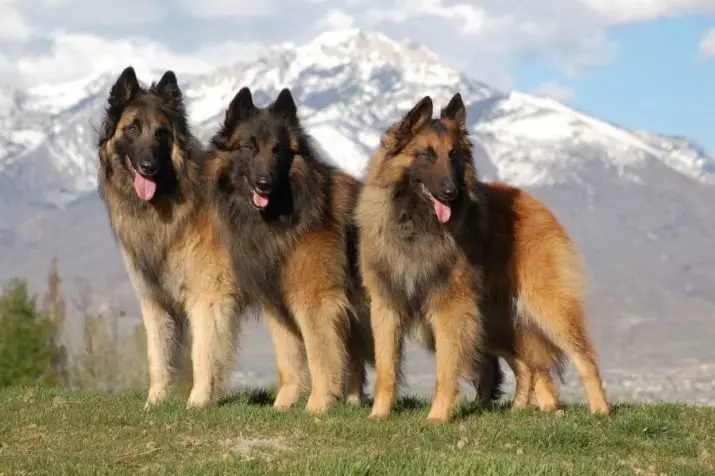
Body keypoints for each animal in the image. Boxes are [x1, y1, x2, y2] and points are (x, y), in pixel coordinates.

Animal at [96, 66, 242, 410]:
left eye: (162, 133)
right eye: (132, 128)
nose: (148, 166)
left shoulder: (209, 299)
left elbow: (203, 355)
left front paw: (198, 403)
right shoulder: (156, 302)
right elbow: (159, 356)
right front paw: (154, 404)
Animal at [203, 87, 374, 414]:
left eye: (278, 150)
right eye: (249, 146)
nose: (264, 184)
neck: (283, 216)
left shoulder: (315, 303)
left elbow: (321, 357)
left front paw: (318, 405)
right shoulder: (277, 306)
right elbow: (288, 359)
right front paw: (284, 404)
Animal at [356, 92, 608, 420]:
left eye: (453, 155)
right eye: (426, 154)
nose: (451, 193)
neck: (415, 222)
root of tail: (538, 205)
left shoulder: (449, 309)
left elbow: (445, 371)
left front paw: (437, 418)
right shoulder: (387, 305)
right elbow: (386, 369)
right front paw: (379, 416)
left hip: (545, 308)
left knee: (583, 357)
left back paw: (600, 410)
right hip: (491, 322)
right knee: (530, 365)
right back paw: (535, 409)